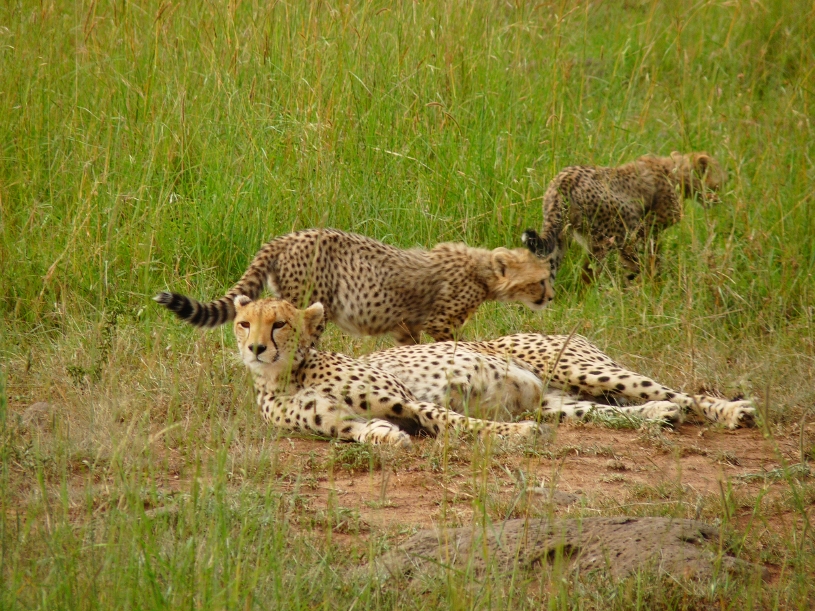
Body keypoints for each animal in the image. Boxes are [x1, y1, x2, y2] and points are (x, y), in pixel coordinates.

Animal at [156, 228, 554, 345]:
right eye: (541, 280)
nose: (551, 296)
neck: (482, 270)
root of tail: (289, 236)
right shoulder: (440, 323)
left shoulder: (407, 327)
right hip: (307, 304)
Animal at [233, 296, 548, 447]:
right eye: (244, 324)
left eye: (279, 324)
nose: (256, 348)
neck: (288, 375)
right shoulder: (341, 422)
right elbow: (363, 429)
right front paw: (388, 436)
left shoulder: (408, 400)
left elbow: (450, 418)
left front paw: (517, 431)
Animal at [522, 152, 725, 282]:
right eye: (718, 183)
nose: (718, 199)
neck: (675, 171)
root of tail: (566, 179)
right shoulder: (645, 229)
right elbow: (650, 258)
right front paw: (653, 283)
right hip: (608, 237)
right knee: (588, 273)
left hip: (560, 236)